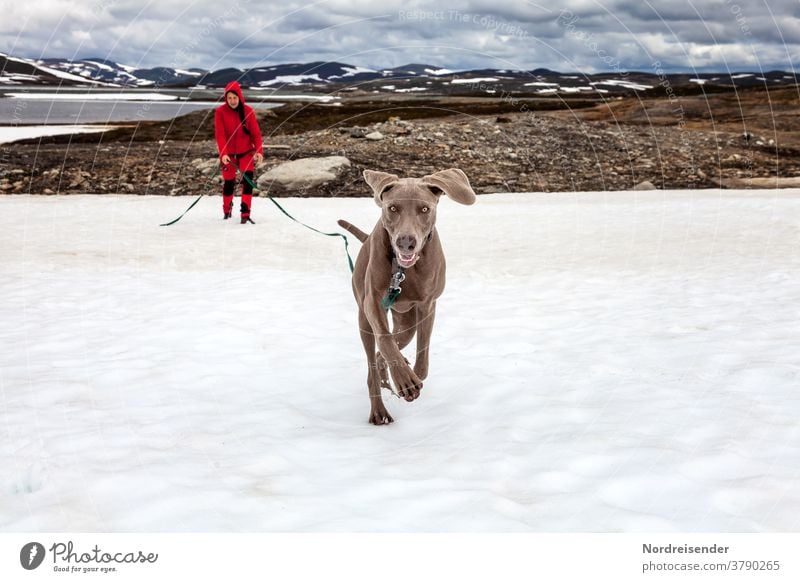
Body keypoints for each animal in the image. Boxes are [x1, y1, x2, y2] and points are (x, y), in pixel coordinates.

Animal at [338, 168, 476, 424]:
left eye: (425, 209)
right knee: (374, 361)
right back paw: (379, 409)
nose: (406, 242)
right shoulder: (373, 303)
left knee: (389, 350)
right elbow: (385, 339)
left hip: (406, 322)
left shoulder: (427, 305)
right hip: (364, 319)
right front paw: (404, 380)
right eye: (393, 208)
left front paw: (411, 375)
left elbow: (423, 354)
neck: (403, 270)